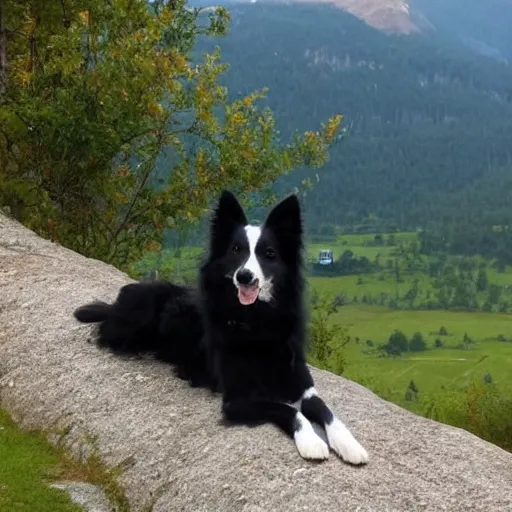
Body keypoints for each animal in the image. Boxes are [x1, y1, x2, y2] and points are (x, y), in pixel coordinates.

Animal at [74, 191, 368, 464]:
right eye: (236, 250)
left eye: (269, 254)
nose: (245, 276)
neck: (257, 322)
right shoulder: (237, 400)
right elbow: (289, 410)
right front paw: (311, 441)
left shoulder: (302, 385)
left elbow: (325, 410)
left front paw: (349, 444)